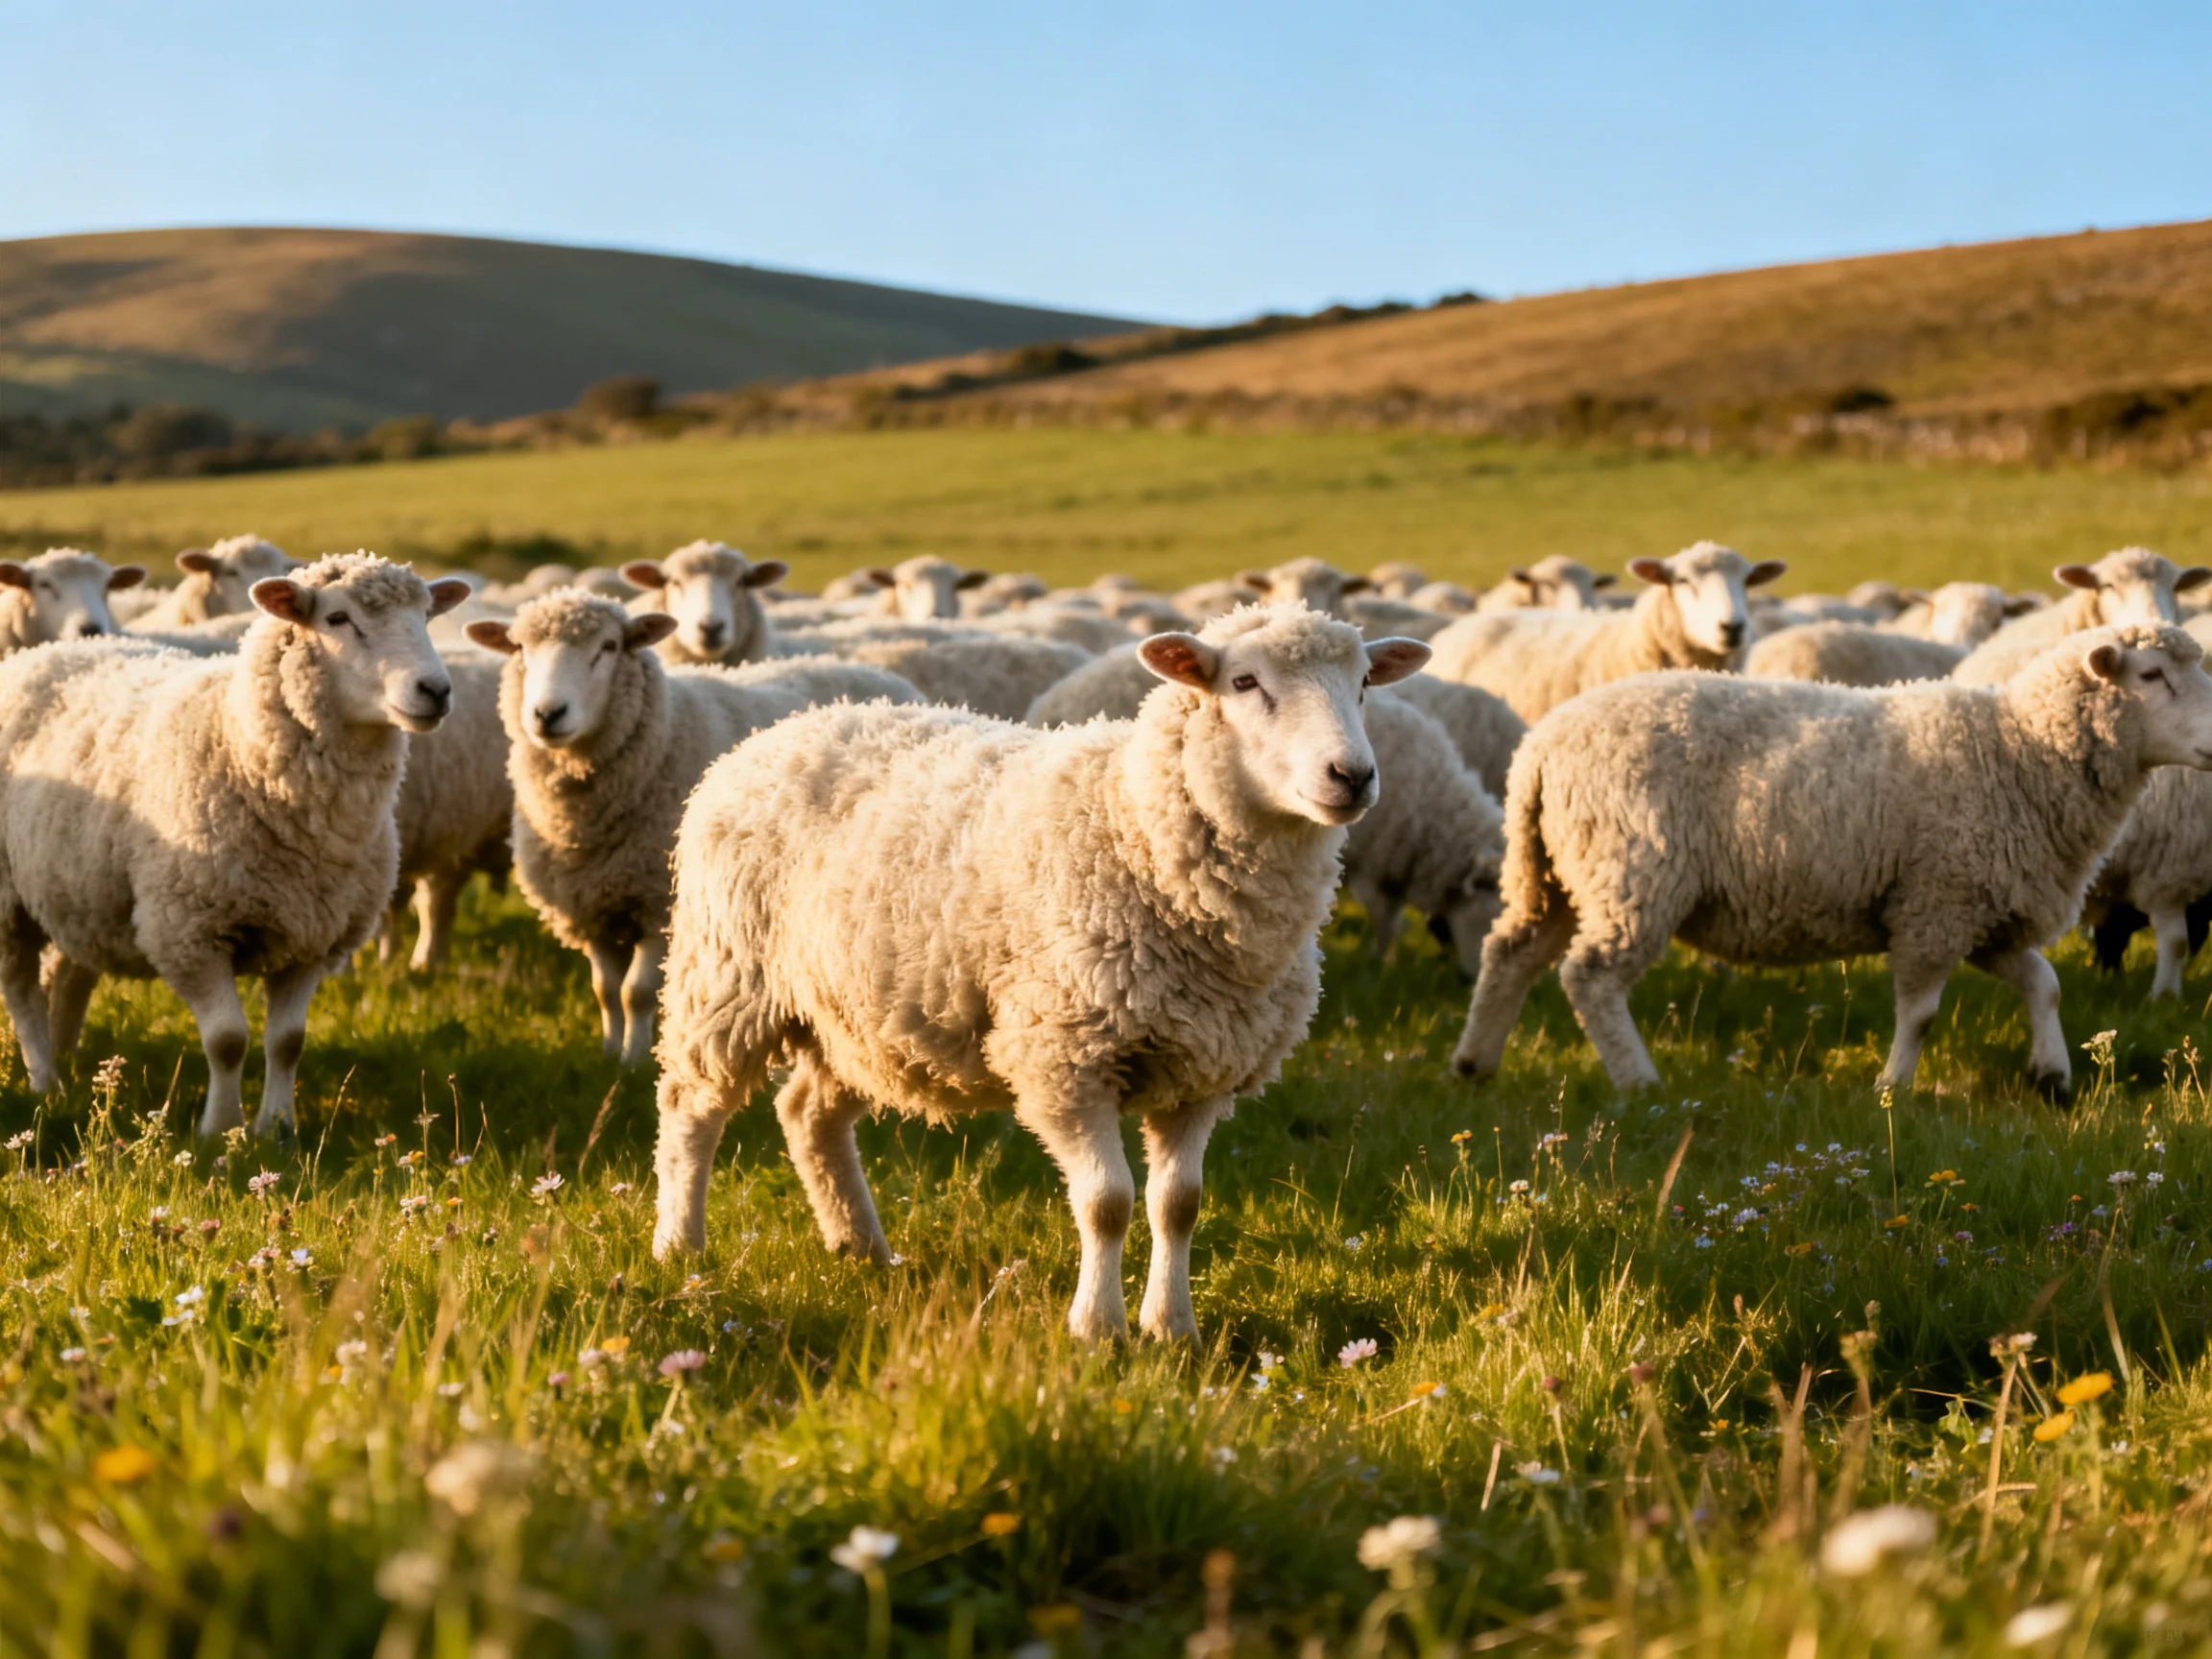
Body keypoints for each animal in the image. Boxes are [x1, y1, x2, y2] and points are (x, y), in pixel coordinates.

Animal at [463, 593, 922, 1063]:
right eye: (519, 648)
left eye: (609, 646)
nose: (547, 713)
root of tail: (882, 679)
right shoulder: (590, 906)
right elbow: (605, 991)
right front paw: (609, 1052)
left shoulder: (658, 903)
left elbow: (636, 993)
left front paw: (633, 1061)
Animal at [649, 603, 1433, 1340]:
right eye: (1244, 682)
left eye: (1365, 682)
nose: (1352, 777)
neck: (1133, 824)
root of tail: (783, 728)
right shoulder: (1065, 1056)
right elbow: (1108, 1203)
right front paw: (1098, 1329)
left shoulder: (1203, 1067)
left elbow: (1178, 1205)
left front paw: (1172, 1328)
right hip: (726, 974)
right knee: (691, 1109)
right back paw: (680, 1249)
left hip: (859, 1013)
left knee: (808, 1114)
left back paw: (862, 1248)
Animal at [1342, 695, 1504, 977]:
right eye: (1492, 925)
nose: (1468, 980)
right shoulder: (1371, 869)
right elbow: (1384, 925)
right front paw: (1375, 969)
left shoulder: (1390, 871)